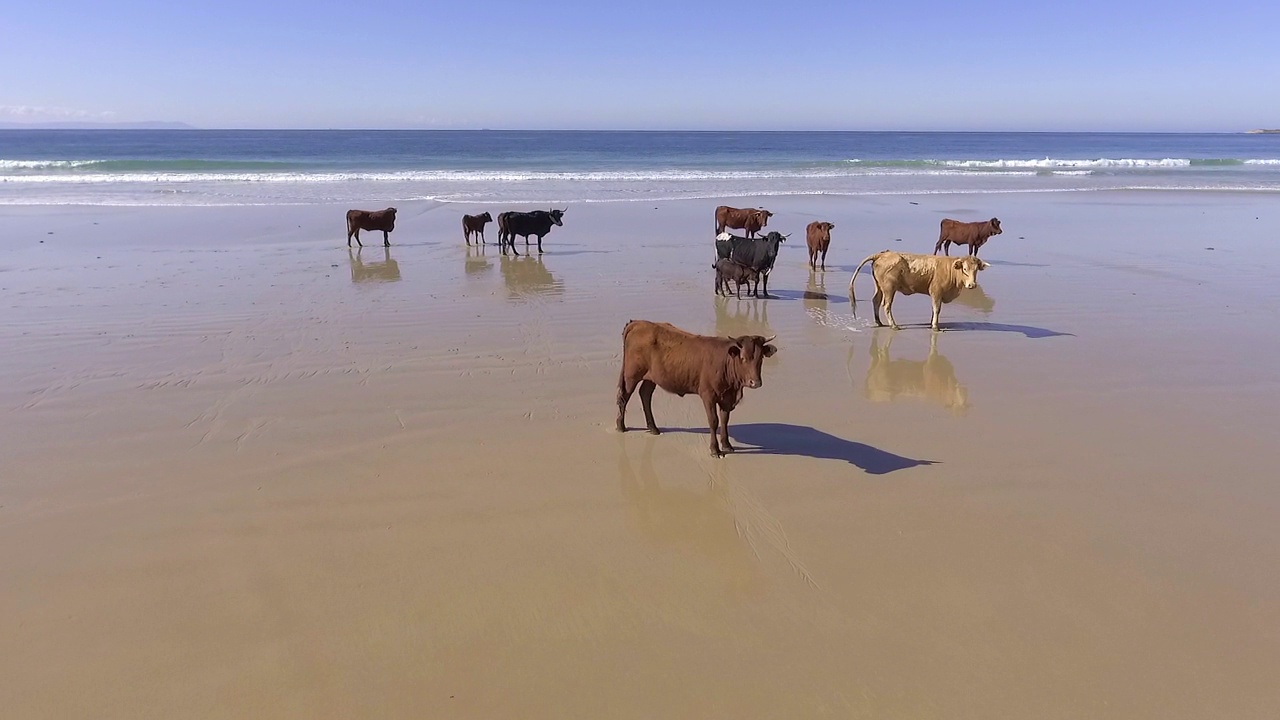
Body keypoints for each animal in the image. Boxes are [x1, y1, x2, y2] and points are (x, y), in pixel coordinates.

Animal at [614, 317, 773, 453]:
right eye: (743, 358)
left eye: (760, 358)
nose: (755, 382)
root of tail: (638, 323)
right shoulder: (708, 395)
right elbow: (713, 421)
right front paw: (715, 449)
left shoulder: (727, 398)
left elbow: (724, 419)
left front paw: (727, 445)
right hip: (631, 375)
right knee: (624, 396)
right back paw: (621, 426)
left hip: (651, 378)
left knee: (645, 394)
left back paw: (653, 428)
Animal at [849, 248, 988, 330]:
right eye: (964, 269)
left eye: (976, 270)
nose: (972, 285)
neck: (951, 270)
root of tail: (882, 254)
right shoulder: (936, 292)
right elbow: (937, 309)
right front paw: (935, 326)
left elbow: (933, 309)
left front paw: (932, 323)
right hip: (889, 289)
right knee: (886, 305)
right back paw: (893, 325)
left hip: (879, 287)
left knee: (876, 301)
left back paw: (878, 322)